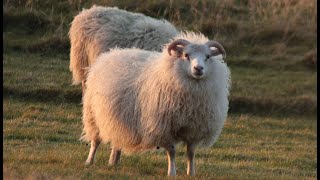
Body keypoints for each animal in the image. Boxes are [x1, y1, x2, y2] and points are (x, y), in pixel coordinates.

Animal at [80, 31, 230, 176]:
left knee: (117, 140)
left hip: (118, 120)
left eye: (208, 56)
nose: (198, 68)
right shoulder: (165, 127)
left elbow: (191, 153)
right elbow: (172, 152)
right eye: (186, 55)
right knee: (95, 141)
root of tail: (111, 53)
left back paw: (113, 162)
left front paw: (191, 173)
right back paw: (89, 161)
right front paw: (171, 173)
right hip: (92, 114)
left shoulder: (194, 128)